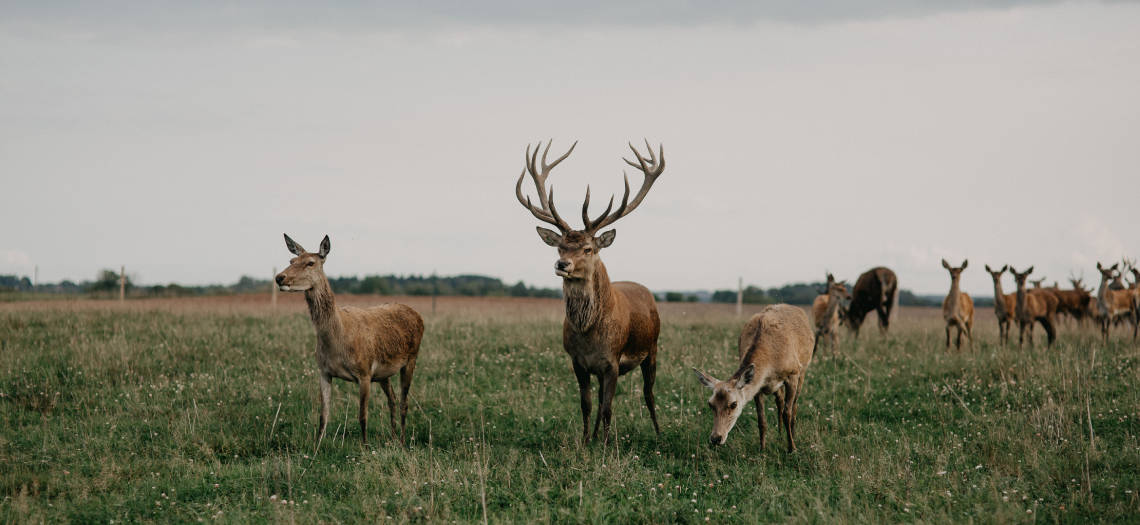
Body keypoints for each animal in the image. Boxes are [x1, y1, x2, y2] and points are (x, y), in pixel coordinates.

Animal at [274, 233, 424, 441]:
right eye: (291, 260)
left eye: (310, 262)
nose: (280, 277)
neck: (337, 340)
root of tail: (418, 315)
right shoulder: (324, 371)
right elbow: (323, 416)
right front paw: (316, 446)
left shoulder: (364, 372)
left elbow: (362, 416)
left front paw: (365, 446)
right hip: (383, 373)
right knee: (392, 398)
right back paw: (393, 438)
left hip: (411, 358)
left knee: (404, 402)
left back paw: (402, 441)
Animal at [513, 138, 665, 441]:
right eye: (560, 246)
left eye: (587, 248)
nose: (562, 264)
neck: (589, 333)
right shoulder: (579, 362)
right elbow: (586, 404)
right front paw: (585, 441)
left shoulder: (613, 361)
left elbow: (607, 408)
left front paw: (606, 445)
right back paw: (595, 435)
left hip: (652, 348)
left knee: (649, 394)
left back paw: (657, 432)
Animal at [688, 302, 816, 450]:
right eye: (710, 404)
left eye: (733, 404)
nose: (716, 438)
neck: (771, 364)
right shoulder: (758, 386)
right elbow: (761, 419)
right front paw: (762, 449)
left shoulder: (793, 373)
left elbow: (787, 413)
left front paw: (792, 448)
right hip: (777, 385)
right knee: (779, 401)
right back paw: (779, 435)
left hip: (803, 370)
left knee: (793, 406)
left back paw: (792, 435)